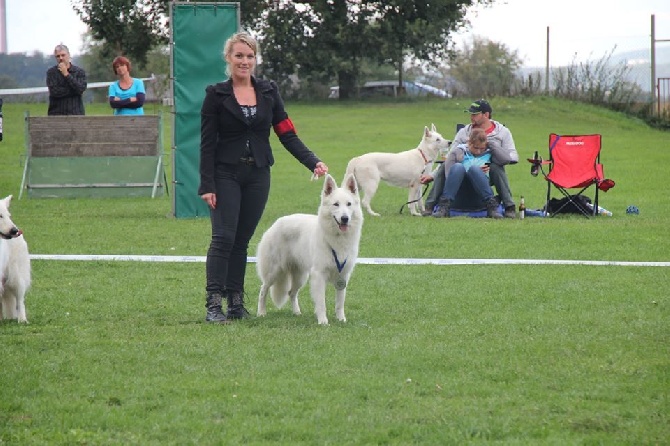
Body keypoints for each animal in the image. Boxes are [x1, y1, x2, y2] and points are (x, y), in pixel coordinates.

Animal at [258, 173, 364, 324]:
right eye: (336, 204)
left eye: (349, 204)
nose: (345, 218)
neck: (337, 238)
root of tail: (275, 224)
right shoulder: (319, 275)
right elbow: (321, 302)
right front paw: (323, 321)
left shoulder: (343, 276)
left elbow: (340, 302)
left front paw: (341, 319)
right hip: (274, 271)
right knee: (263, 290)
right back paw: (261, 313)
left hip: (300, 276)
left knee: (291, 293)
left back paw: (296, 312)